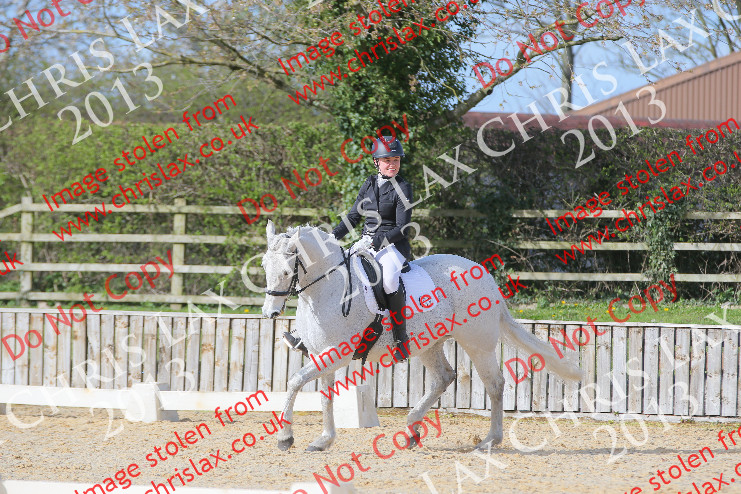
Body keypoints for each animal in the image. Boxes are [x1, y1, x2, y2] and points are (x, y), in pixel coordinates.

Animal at [260, 221, 582, 452]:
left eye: (288, 269)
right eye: (264, 265)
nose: (270, 312)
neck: (326, 289)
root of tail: (485, 275)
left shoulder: (335, 354)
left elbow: (294, 382)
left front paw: (285, 437)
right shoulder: (322, 355)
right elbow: (324, 397)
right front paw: (323, 440)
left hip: (477, 345)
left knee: (495, 385)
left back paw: (490, 440)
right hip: (428, 345)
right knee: (444, 377)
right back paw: (412, 429)